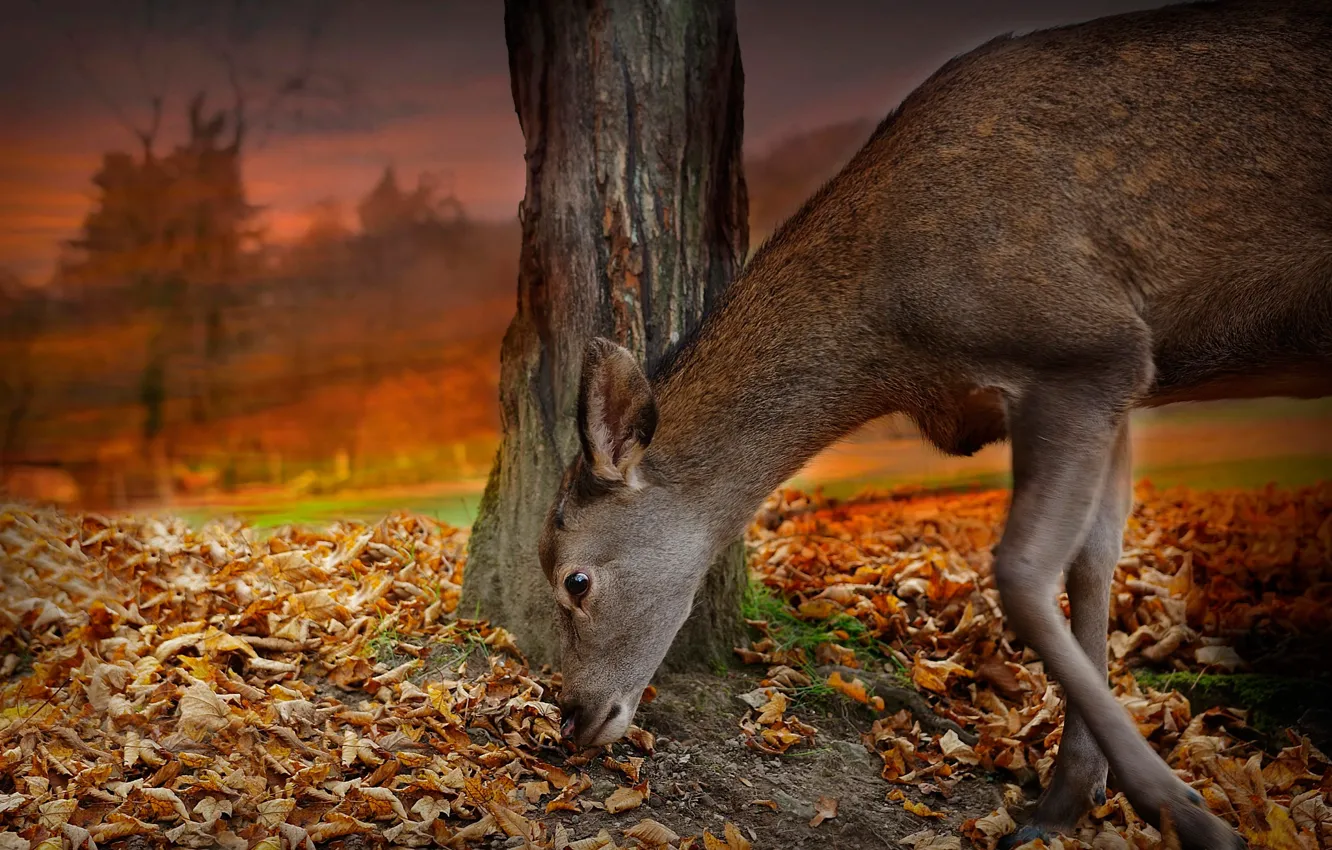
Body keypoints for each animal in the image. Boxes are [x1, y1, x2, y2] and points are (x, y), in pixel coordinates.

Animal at [536, 1, 1332, 847]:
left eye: (575, 580)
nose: (572, 716)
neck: (907, 347)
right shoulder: (1121, 377)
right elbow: (1094, 560)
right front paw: (1068, 798)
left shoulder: (1086, 347)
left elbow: (1022, 570)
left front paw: (1179, 809)